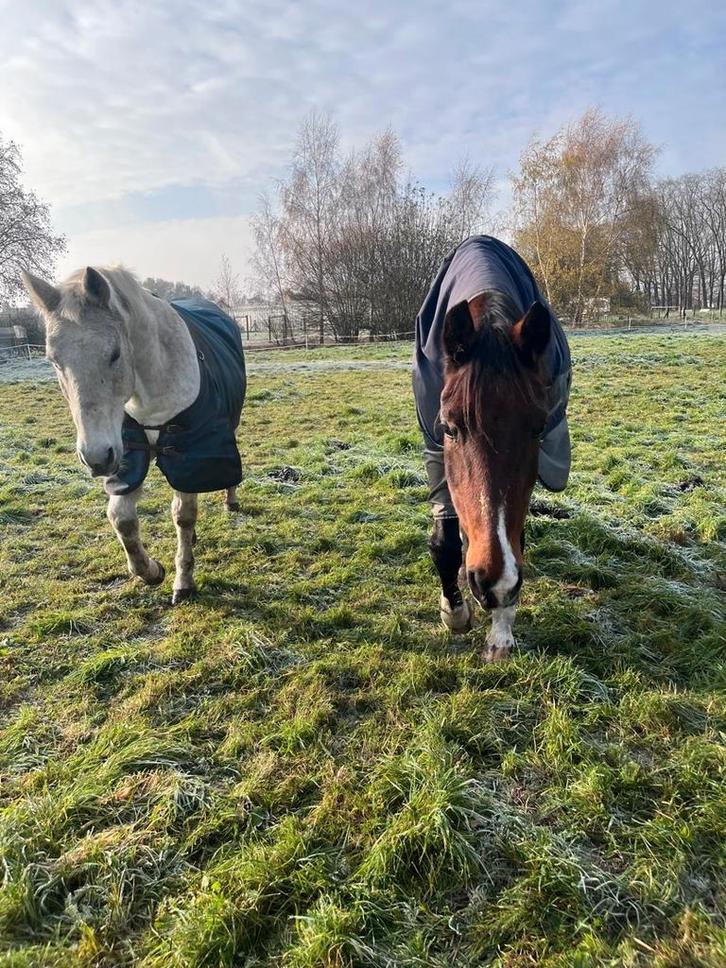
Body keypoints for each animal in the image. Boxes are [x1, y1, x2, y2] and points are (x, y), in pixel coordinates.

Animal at [22, 266, 246, 605]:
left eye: (114, 354)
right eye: (53, 360)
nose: (96, 458)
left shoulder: (188, 453)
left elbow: (183, 515)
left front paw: (183, 582)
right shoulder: (128, 455)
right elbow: (122, 519)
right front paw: (152, 571)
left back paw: (230, 501)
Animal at [413, 236, 571, 661]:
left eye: (538, 428)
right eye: (450, 428)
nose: (494, 582)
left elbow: (517, 538)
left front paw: (501, 631)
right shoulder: (434, 447)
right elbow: (446, 541)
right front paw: (454, 611)